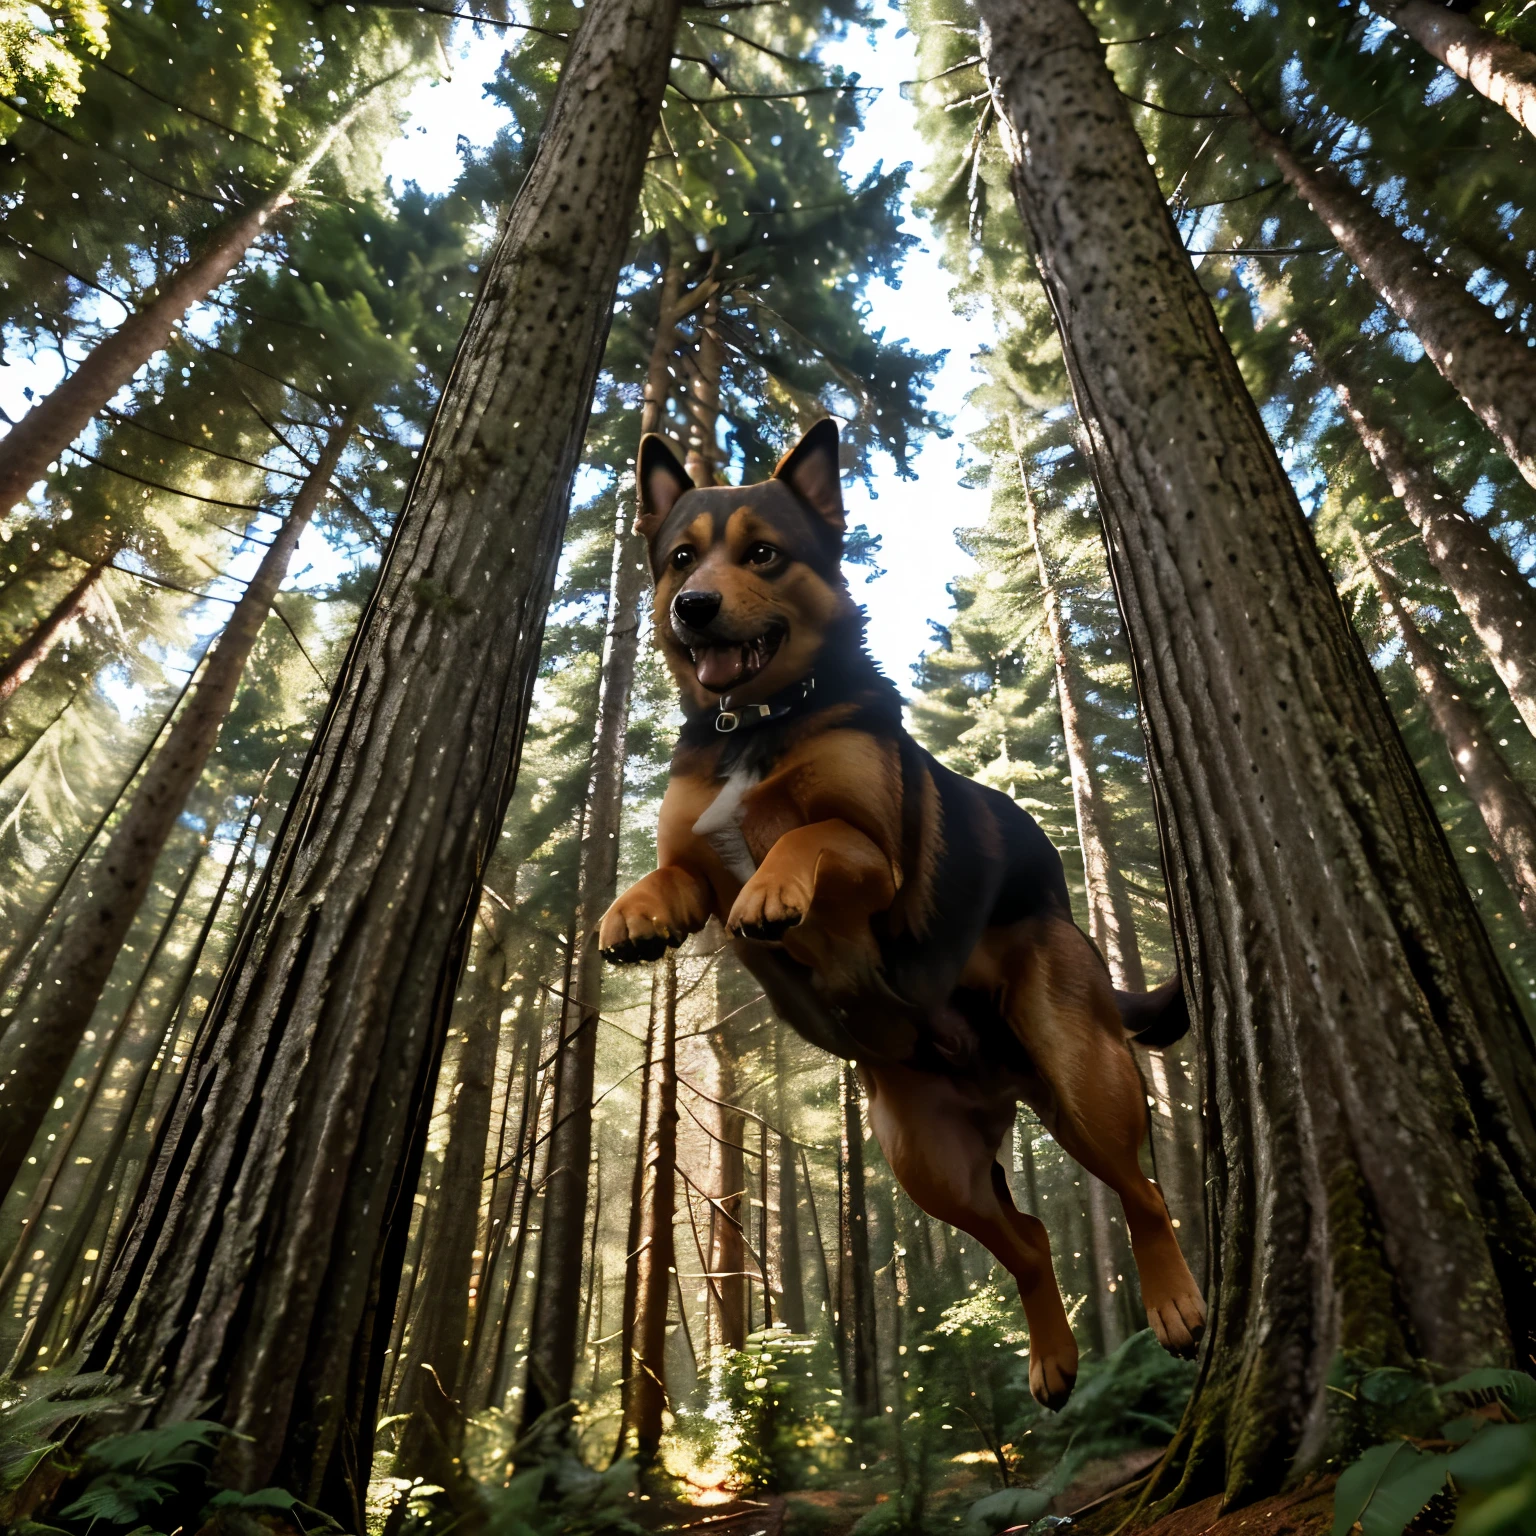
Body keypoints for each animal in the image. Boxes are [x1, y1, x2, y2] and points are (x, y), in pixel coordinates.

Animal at [599, 417, 1210, 1406]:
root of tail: (1000, 1079)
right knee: (1030, 1240)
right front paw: (630, 914)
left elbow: (810, 836)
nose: (692, 605)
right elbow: (671, 874)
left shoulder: (874, 857)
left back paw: (1175, 1305)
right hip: (929, 1160)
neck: (758, 724)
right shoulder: (698, 867)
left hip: (1080, 1076)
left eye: (763, 554)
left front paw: (774, 887)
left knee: (1143, 1193)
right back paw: (1052, 1359)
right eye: (681, 557)